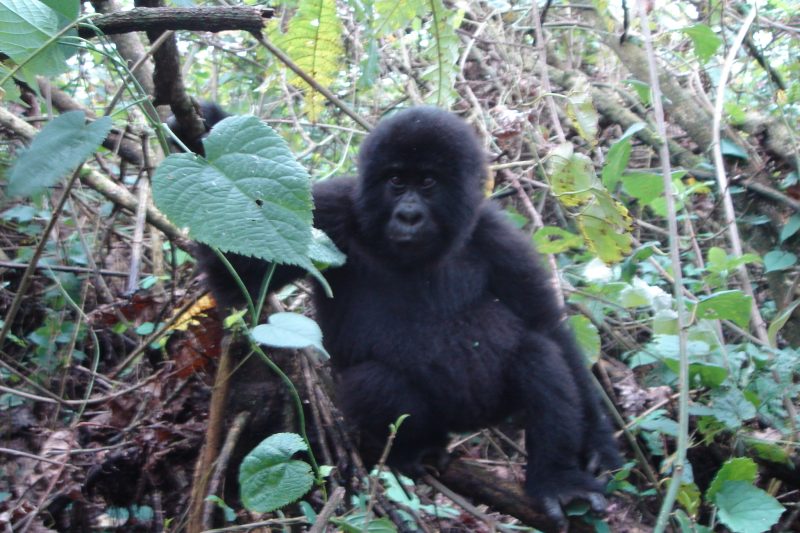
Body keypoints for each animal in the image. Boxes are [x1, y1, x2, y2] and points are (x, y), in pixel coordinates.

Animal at [191, 106, 620, 520]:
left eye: (427, 182)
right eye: (396, 181)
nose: (408, 216)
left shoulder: (496, 233)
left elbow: (545, 325)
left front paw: (598, 442)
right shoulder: (332, 210)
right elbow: (238, 269)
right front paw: (201, 134)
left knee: (538, 355)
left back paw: (556, 479)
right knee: (375, 380)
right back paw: (414, 450)